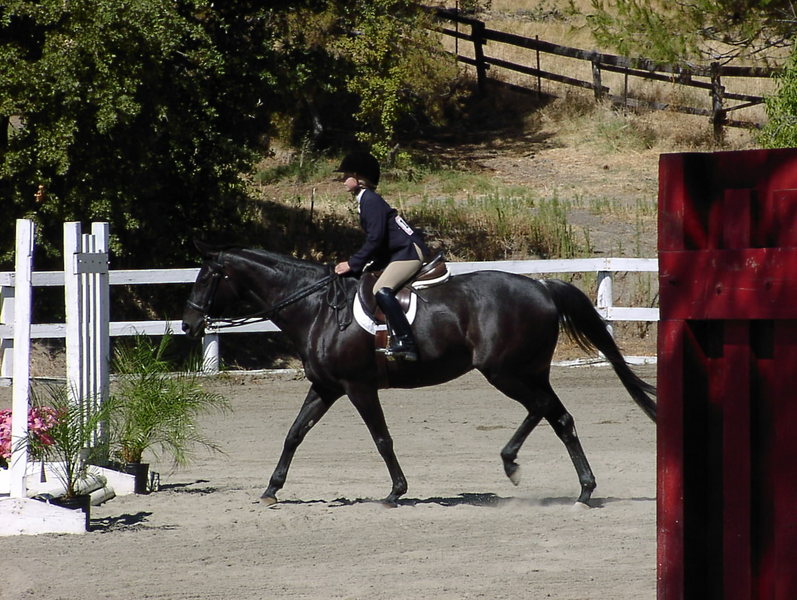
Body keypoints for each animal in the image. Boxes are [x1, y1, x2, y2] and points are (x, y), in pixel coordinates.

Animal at [181, 243, 656, 507]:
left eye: (207, 278)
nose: (188, 325)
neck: (317, 309)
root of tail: (542, 286)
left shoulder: (357, 388)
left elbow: (381, 439)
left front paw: (395, 492)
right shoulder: (326, 387)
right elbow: (294, 434)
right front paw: (271, 489)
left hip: (504, 372)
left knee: (545, 411)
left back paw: (522, 467)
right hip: (528, 371)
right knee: (559, 417)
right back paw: (580, 489)